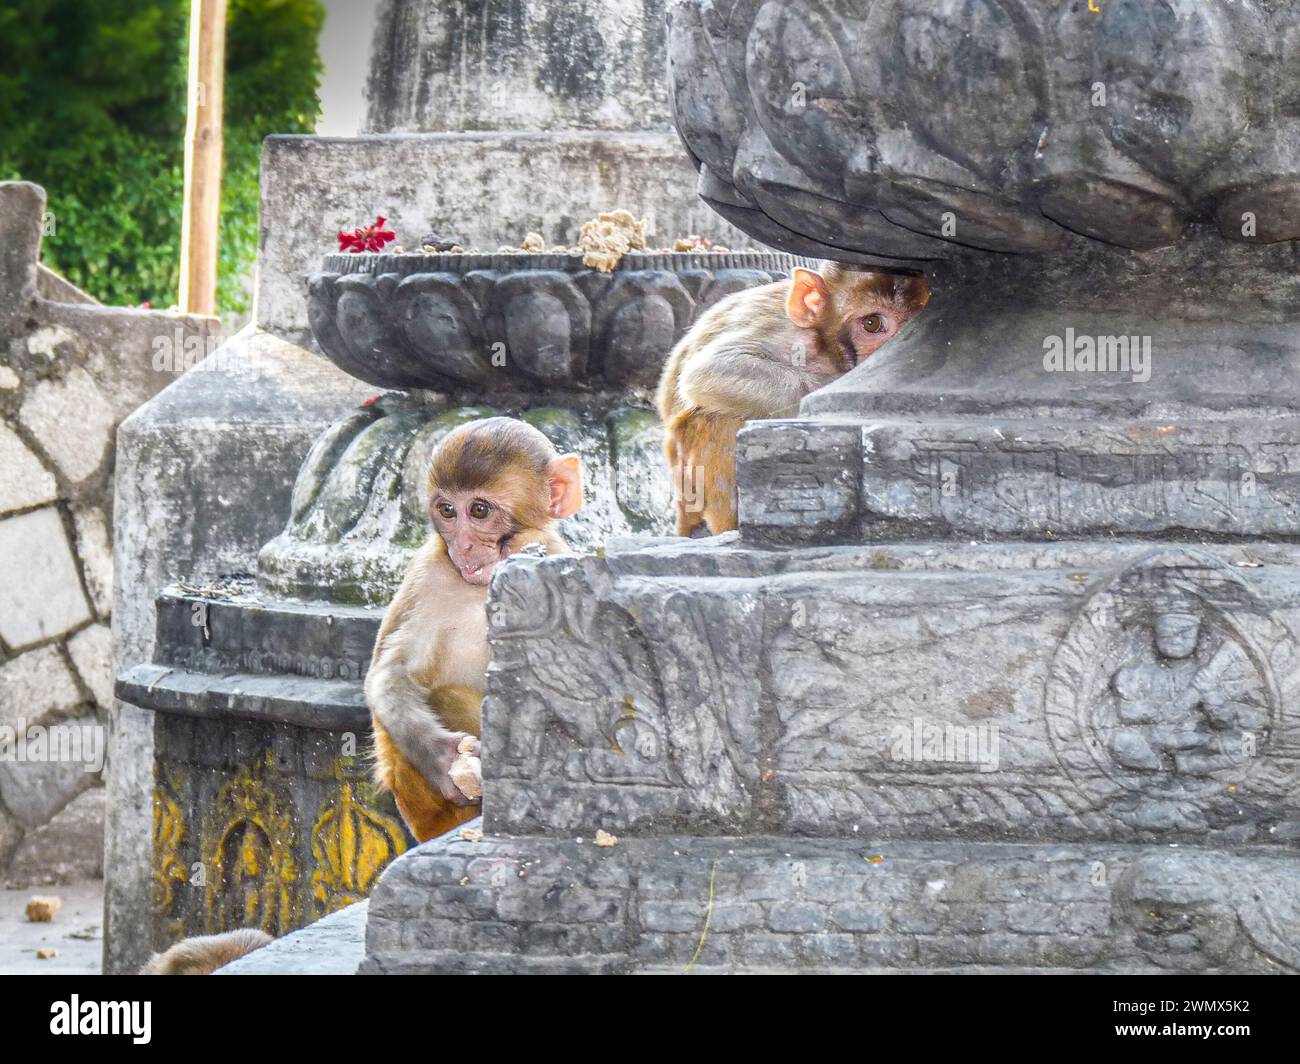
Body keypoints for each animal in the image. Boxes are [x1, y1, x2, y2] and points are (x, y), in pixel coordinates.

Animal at [364, 413, 582, 837]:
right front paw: (443, 756)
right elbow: (393, 673)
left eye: (479, 511)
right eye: (448, 510)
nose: (462, 545)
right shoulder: (427, 574)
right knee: (444, 697)